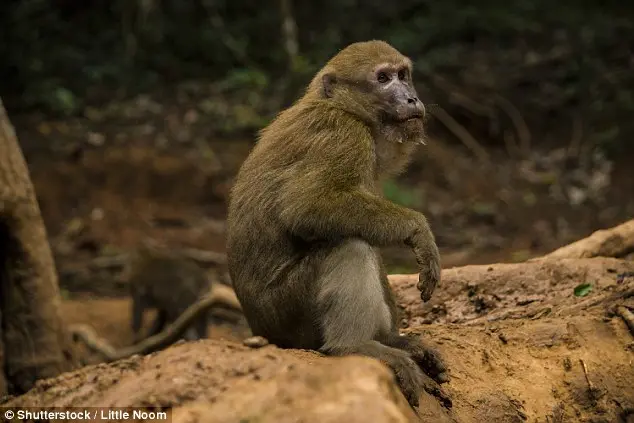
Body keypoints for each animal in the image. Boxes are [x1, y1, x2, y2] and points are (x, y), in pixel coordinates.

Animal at [225, 40, 446, 410]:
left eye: (403, 75)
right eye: (383, 78)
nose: (411, 99)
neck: (345, 109)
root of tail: (261, 330)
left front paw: (395, 338)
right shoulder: (342, 136)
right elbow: (306, 207)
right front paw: (419, 230)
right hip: (288, 314)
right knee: (348, 245)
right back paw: (353, 346)